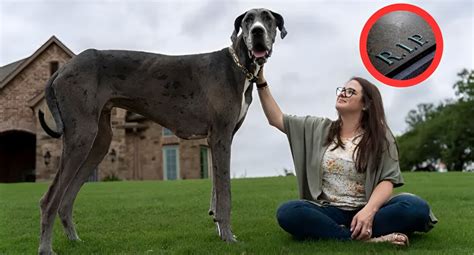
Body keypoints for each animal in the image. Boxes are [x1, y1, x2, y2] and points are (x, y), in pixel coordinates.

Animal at [37, 7, 286, 255]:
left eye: (267, 19)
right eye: (248, 20)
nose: (257, 32)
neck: (237, 66)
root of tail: (62, 69)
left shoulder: (218, 140)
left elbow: (216, 189)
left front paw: (220, 229)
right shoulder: (221, 137)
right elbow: (225, 194)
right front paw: (228, 237)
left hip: (99, 142)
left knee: (66, 199)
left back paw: (74, 239)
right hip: (82, 136)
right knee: (49, 199)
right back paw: (46, 248)